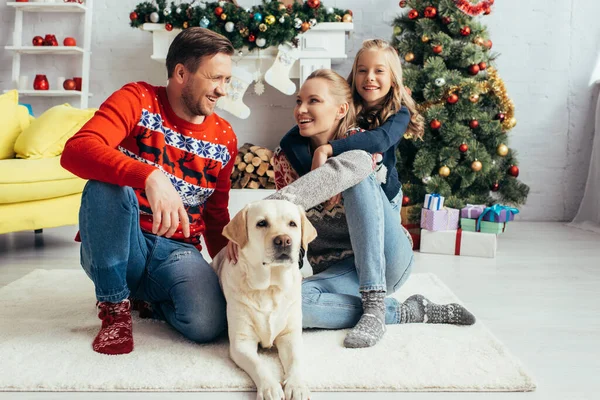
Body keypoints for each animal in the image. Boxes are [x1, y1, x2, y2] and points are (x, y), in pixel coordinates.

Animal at [211, 200, 316, 400]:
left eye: (292, 224)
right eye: (262, 223)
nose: (284, 240)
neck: (269, 288)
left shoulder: (290, 336)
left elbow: (296, 361)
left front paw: (296, 385)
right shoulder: (241, 342)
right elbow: (258, 364)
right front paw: (270, 388)